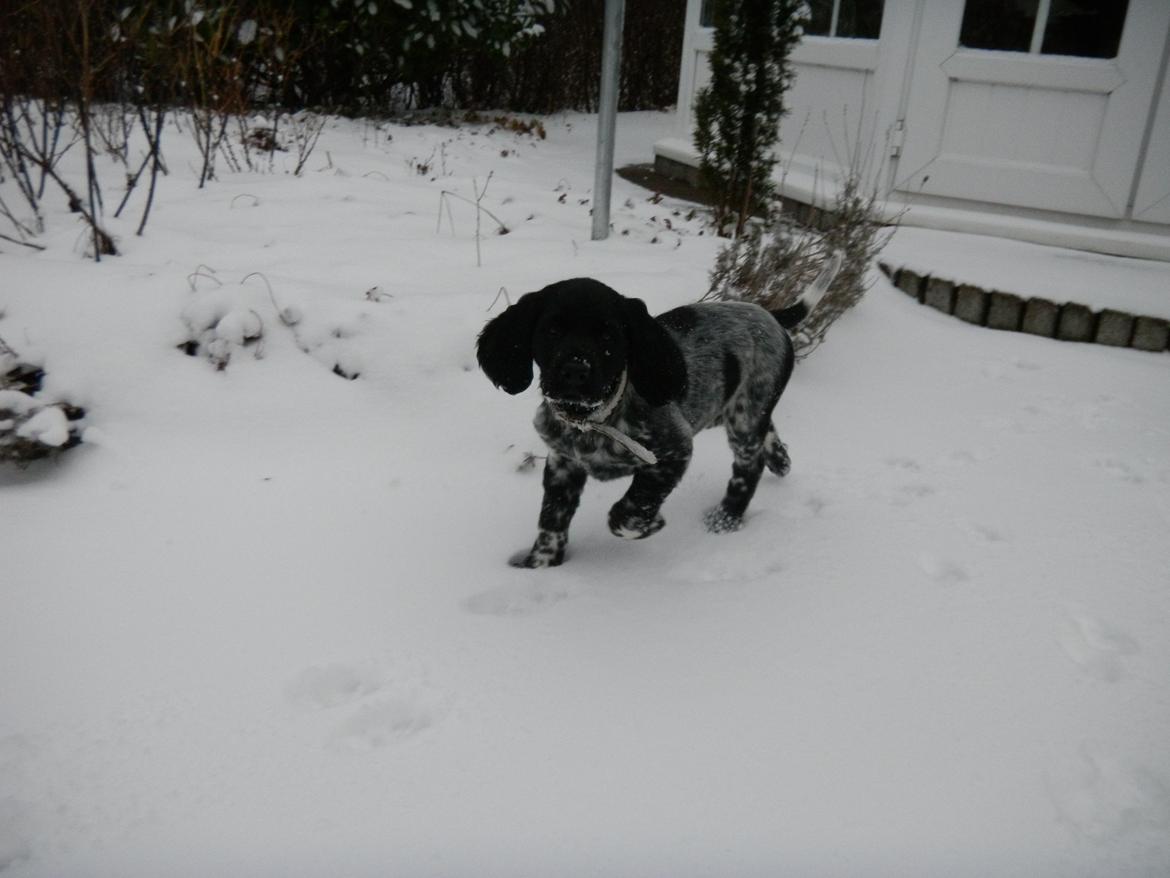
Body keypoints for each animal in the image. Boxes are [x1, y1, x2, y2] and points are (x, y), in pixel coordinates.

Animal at [475, 254, 842, 571]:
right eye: (551, 331)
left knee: (748, 467)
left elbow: (627, 511)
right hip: (734, 410)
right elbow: (552, 521)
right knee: (769, 435)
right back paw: (781, 461)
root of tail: (769, 314)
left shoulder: (672, 453)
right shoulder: (563, 464)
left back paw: (726, 518)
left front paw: (651, 524)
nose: (575, 371)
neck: (594, 420)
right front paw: (541, 566)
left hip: (746, 414)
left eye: (609, 336)